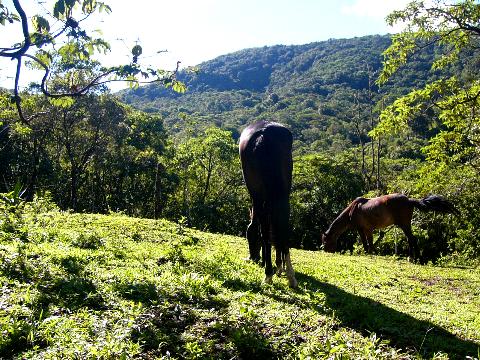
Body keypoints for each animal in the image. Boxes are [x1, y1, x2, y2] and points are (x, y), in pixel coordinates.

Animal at [239, 119, 298, 288]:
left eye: (248, 237)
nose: (252, 257)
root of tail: (264, 133)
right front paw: (278, 265)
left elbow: (262, 231)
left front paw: (272, 264)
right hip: (282, 194)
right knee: (282, 227)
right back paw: (288, 274)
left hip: (259, 195)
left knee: (266, 230)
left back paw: (269, 272)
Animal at [322, 194, 458, 262]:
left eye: (325, 241)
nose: (326, 251)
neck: (353, 210)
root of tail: (409, 200)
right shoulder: (366, 229)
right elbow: (369, 242)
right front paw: (371, 253)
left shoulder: (363, 229)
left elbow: (367, 243)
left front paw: (369, 253)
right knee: (411, 240)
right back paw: (414, 258)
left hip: (404, 225)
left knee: (411, 239)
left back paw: (415, 258)